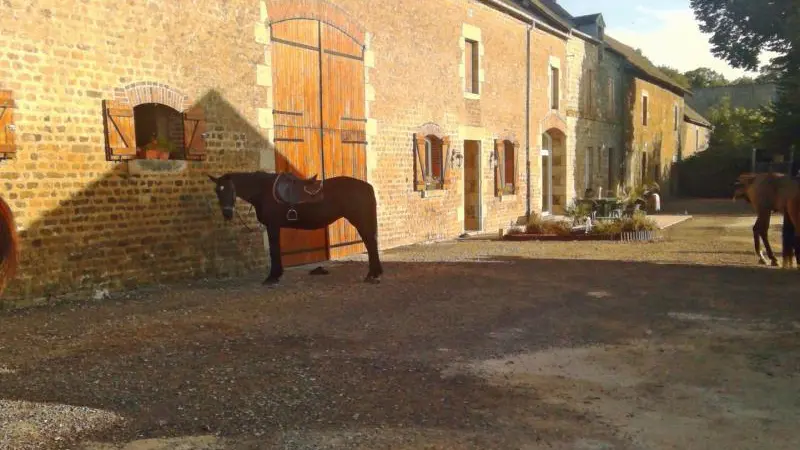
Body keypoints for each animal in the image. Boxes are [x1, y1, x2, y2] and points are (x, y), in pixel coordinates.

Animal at [207, 171, 383, 285]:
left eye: (230, 189)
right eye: (217, 191)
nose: (227, 214)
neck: (263, 190)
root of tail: (366, 186)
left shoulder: (272, 226)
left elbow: (274, 250)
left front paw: (273, 277)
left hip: (359, 219)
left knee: (370, 242)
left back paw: (372, 275)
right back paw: (374, 273)